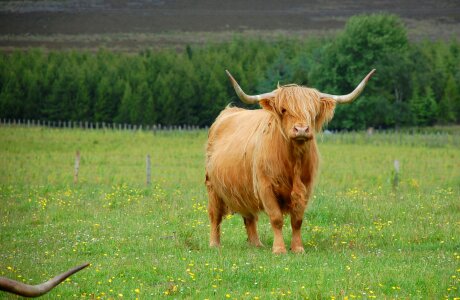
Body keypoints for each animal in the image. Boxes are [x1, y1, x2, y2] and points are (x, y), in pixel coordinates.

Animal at [205, 69, 374, 253]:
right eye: (283, 109)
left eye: (313, 112)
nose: (301, 129)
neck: (293, 162)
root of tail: (228, 111)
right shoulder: (265, 186)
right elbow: (276, 218)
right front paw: (279, 249)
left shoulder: (305, 188)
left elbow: (297, 221)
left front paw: (298, 248)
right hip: (212, 186)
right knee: (215, 215)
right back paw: (214, 244)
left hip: (244, 188)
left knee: (249, 216)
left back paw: (256, 244)